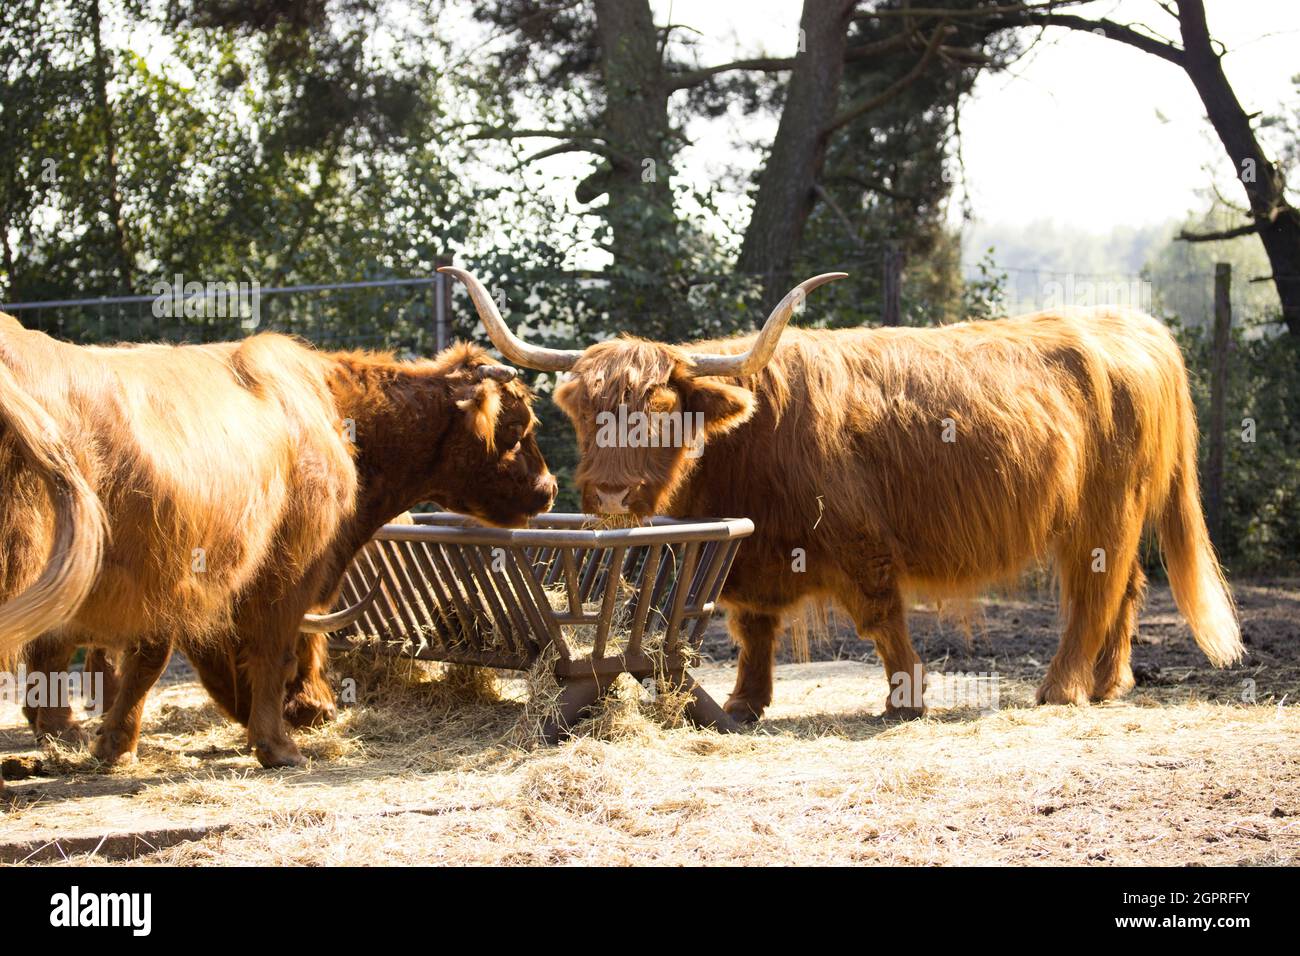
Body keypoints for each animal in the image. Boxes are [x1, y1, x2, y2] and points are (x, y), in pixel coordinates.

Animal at [0, 317, 553, 775]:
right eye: (517, 428)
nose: (547, 489)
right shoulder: (283, 569)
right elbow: (268, 651)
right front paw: (277, 747)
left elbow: (138, 659)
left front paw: (108, 743)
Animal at [441, 265, 1242, 723]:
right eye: (583, 410)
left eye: (663, 410)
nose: (608, 491)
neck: (745, 448)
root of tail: (1134, 326)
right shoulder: (751, 556)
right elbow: (752, 628)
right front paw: (745, 703)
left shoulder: (860, 540)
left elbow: (883, 618)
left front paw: (906, 698)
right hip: (1118, 517)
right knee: (1128, 587)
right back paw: (1111, 685)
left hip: (1100, 512)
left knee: (1095, 594)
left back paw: (1064, 689)